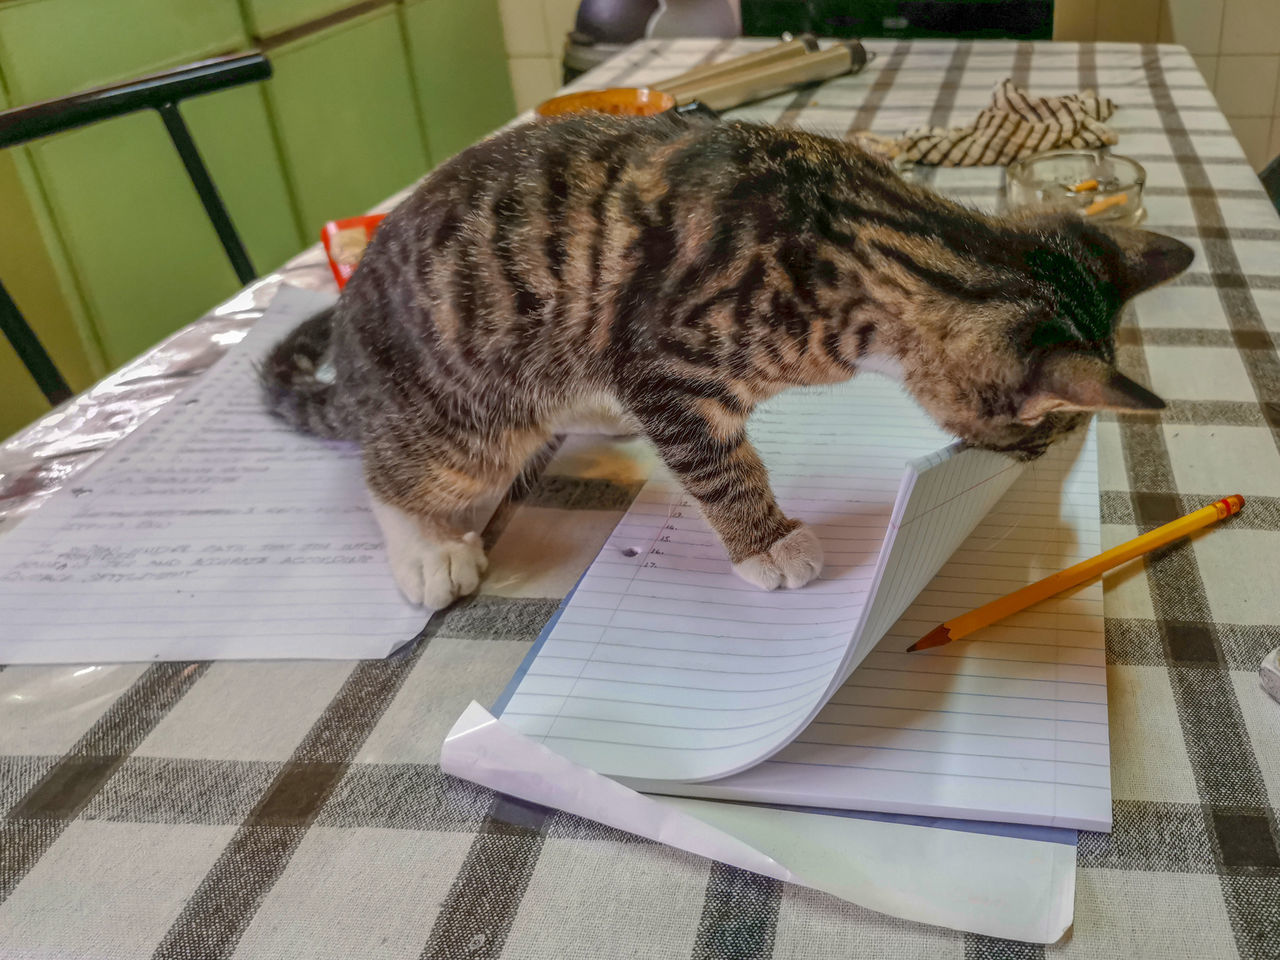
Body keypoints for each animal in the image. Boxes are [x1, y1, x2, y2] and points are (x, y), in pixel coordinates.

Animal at [264, 112, 1192, 609]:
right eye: (1042, 435)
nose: (1043, 457)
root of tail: (352, 352)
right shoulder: (665, 360)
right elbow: (718, 463)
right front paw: (767, 541)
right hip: (467, 415)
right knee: (395, 472)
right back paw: (427, 548)